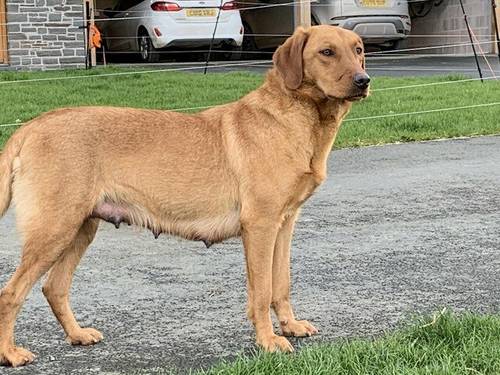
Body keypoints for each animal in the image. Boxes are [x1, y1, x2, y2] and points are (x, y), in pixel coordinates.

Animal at [0, 25, 368, 366]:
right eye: (326, 52)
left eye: (358, 50)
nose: (364, 81)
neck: (298, 117)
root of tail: (29, 128)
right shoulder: (260, 226)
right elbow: (262, 291)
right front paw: (268, 341)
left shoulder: (285, 224)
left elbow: (282, 284)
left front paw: (289, 326)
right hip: (54, 230)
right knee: (11, 293)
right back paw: (11, 354)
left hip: (79, 229)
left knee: (54, 287)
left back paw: (77, 335)